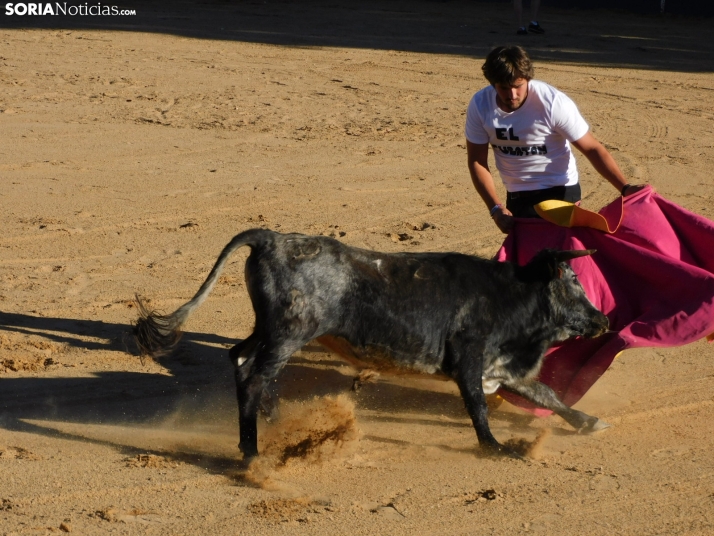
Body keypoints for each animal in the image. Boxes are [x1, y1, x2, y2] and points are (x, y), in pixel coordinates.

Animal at [134, 228, 608, 458]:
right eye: (573, 283)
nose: (602, 320)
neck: (511, 294)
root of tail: (271, 238)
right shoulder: (470, 360)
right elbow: (477, 406)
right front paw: (496, 449)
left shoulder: (504, 367)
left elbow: (546, 393)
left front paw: (589, 422)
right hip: (290, 332)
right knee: (253, 376)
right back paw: (251, 452)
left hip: (269, 330)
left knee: (241, 359)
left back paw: (273, 424)